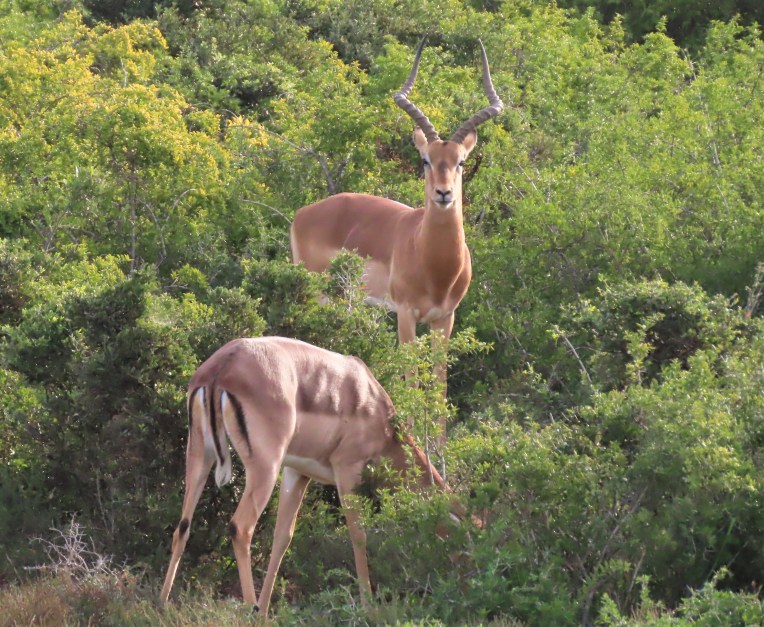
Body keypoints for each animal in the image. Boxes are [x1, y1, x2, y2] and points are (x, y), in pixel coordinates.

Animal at [160, 336, 455, 615]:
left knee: (182, 527)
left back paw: (163, 603)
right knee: (240, 528)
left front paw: (265, 612)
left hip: (200, 455)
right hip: (265, 469)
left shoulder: (297, 472)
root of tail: (222, 367)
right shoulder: (347, 472)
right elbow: (358, 534)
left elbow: (283, 538)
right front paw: (369, 607)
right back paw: (249, 608)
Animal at [290, 37, 503, 424]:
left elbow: (439, 390)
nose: (443, 194)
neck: (436, 267)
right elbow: (412, 382)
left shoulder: (444, 319)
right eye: (425, 159)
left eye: (460, 162)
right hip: (316, 294)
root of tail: (303, 214)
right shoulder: (405, 314)